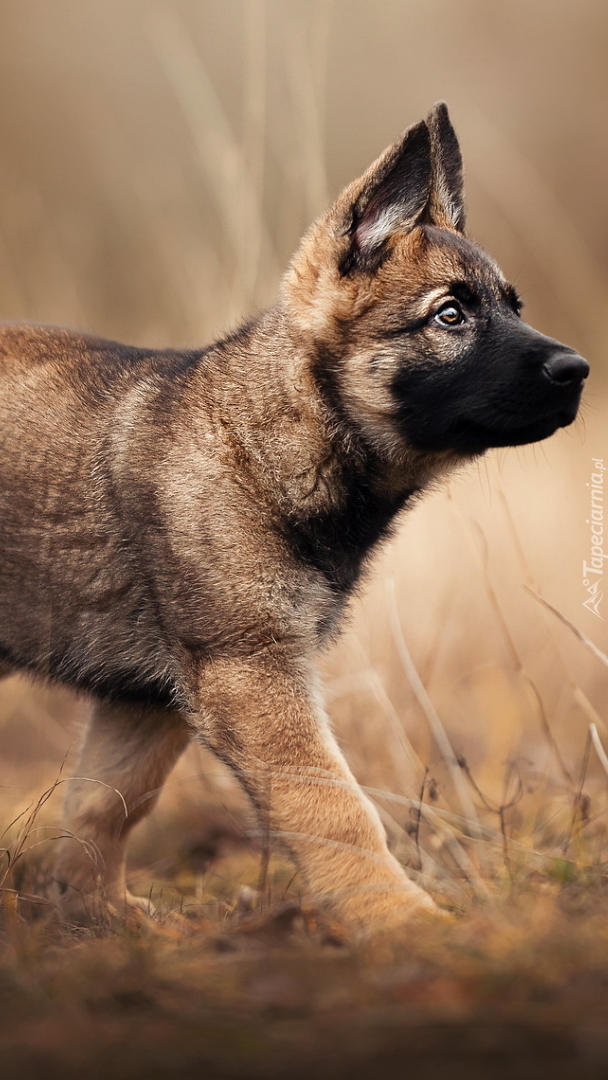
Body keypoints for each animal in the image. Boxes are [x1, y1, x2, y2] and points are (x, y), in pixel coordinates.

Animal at [0, 105, 591, 933]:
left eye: (513, 307)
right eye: (450, 315)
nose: (579, 372)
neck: (276, 434)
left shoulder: (145, 699)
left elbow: (106, 803)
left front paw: (100, 915)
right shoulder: (250, 671)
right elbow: (335, 809)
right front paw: (403, 923)